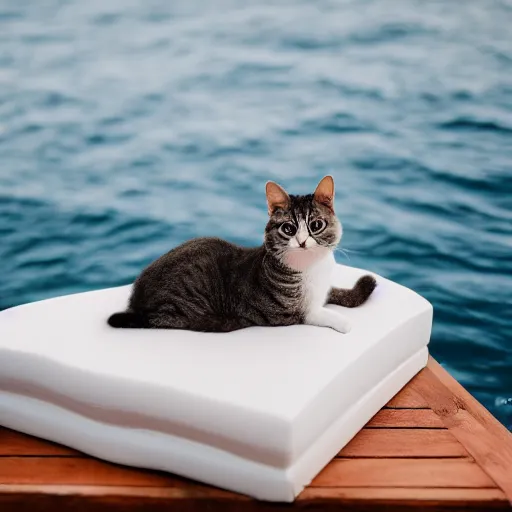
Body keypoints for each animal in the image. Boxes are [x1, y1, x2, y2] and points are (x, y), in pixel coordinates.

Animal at [107, 176, 376, 334]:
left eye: (316, 225)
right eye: (288, 229)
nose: (301, 242)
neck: (311, 268)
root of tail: (136, 300)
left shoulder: (324, 287)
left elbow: (338, 292)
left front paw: (362, 286)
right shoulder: (286, 313)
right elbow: (317, 313)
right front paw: (344, 322)